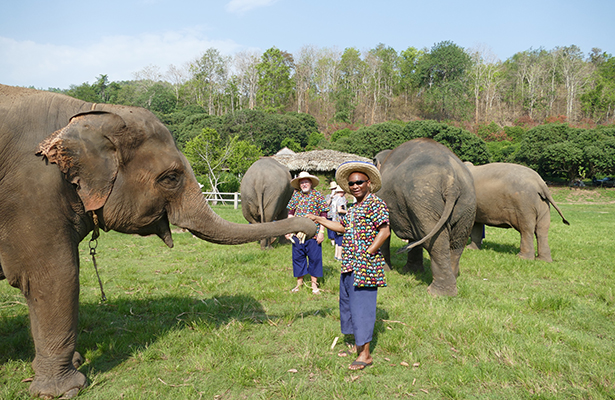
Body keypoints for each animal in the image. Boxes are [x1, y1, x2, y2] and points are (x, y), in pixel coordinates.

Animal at [0, 83, 318, 396]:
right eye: (171, 178)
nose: (312, 227)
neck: (87, 112)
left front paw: (73, 364)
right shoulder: (32, 194)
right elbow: (55, 276)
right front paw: (66, 389)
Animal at [372, 138, 478, 296]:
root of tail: (451, 182)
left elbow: (385, 231)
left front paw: (388, 271)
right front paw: (411, 271)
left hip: (424, 201)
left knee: (436, 243)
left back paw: (437, 293)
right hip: (466, 204)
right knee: (457, 243)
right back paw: (452, 282)